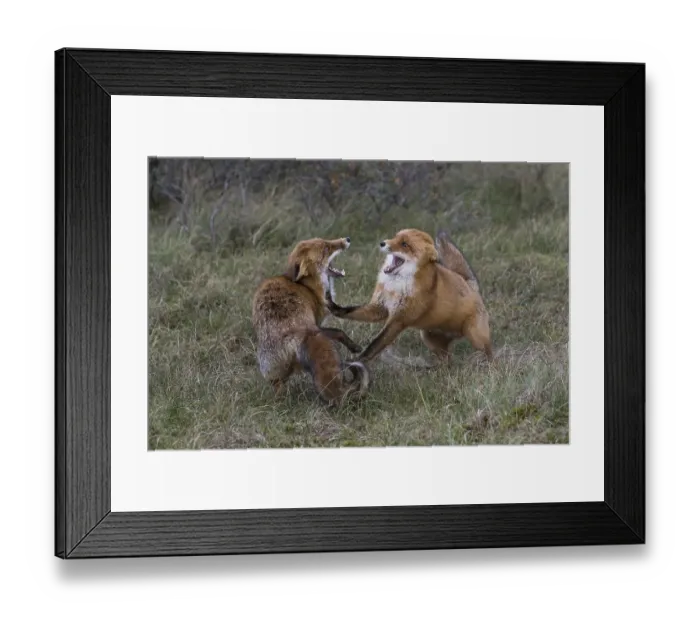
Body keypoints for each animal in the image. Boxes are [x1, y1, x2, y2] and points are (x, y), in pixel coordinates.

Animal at [252, 236, 370, 406]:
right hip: (320, 338)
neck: (307, 287)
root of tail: (292, 333)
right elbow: (339, 332)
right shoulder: (318, 323)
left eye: (327, 241)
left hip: (272, 370)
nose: (347, 239)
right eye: (326, 248)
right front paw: (354, 347)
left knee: (278, 388)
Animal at [326, 228, 493, 365]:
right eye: (395, 237)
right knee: (447, 361)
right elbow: (349, 311)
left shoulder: (399, 319)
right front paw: (333, 306)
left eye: (405, 244)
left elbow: (374, 345)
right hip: (429, 338)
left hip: (476, 337)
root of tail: (470, 285)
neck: (396, 286)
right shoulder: (380, 308)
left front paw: (355, 362)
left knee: (489, 354)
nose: (382, 243)